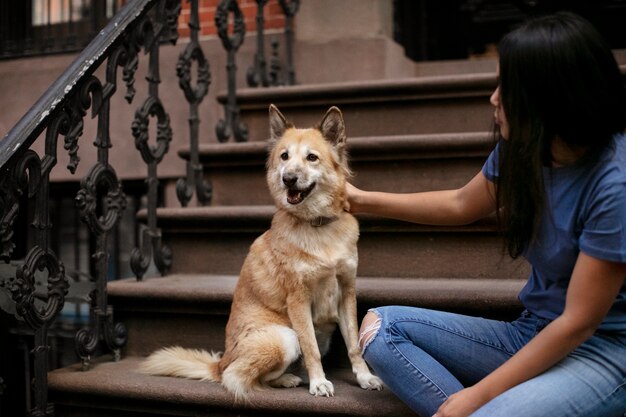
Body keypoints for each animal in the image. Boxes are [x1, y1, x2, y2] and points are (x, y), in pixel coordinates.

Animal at [140, 104, 380, 400]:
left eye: (312, 157)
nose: (288, 179)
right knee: (240, 376)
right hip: (284, 338)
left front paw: (364, 377)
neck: (317, 225)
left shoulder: (346, 292)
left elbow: (355, 344)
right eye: (284, 156)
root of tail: (220, 362)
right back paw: (288, 379)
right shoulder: (298, 301)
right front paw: (319, 382)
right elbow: (310, 347)